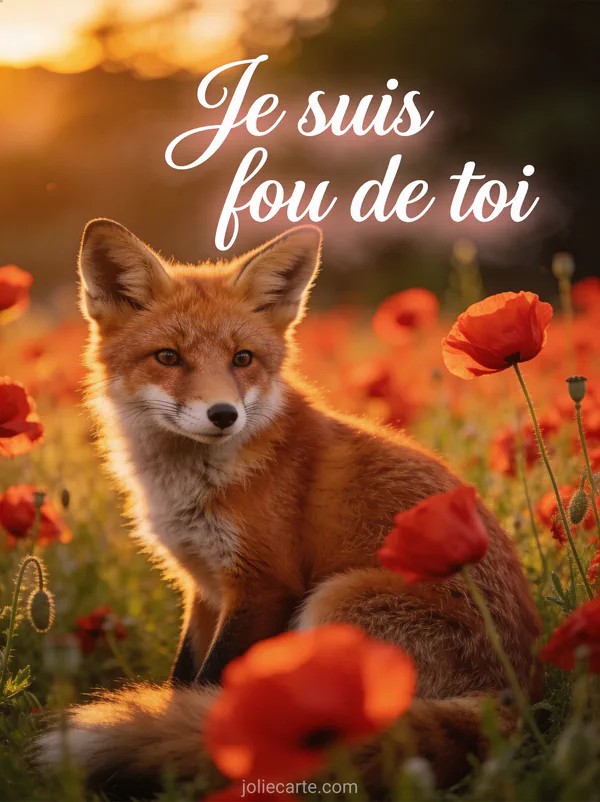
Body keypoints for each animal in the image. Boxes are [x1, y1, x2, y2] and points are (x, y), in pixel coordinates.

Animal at [36, 219, 541, 797]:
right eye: (167, 357)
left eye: (242, 358)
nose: (223, 414)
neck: (190, 488)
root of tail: (515, 700)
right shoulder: (204, 587)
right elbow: (183, 679)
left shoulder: (264, 585)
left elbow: (211, 678)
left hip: (336, 600)